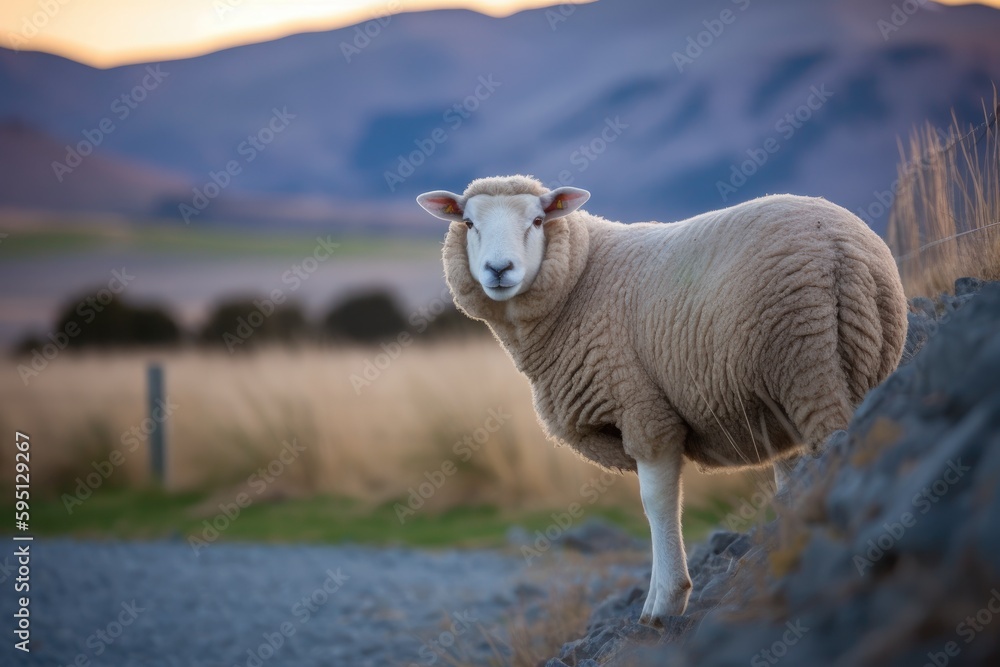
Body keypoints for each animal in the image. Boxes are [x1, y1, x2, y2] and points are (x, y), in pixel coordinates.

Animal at [416, 175, 908, 625]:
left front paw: (663, 604)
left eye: (537, 220)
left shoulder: (644, 409)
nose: (499, 269)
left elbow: (656, 504)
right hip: (853, 366)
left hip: (805, 361)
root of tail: (843, 246)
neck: (580, 277)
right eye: (468, 222)